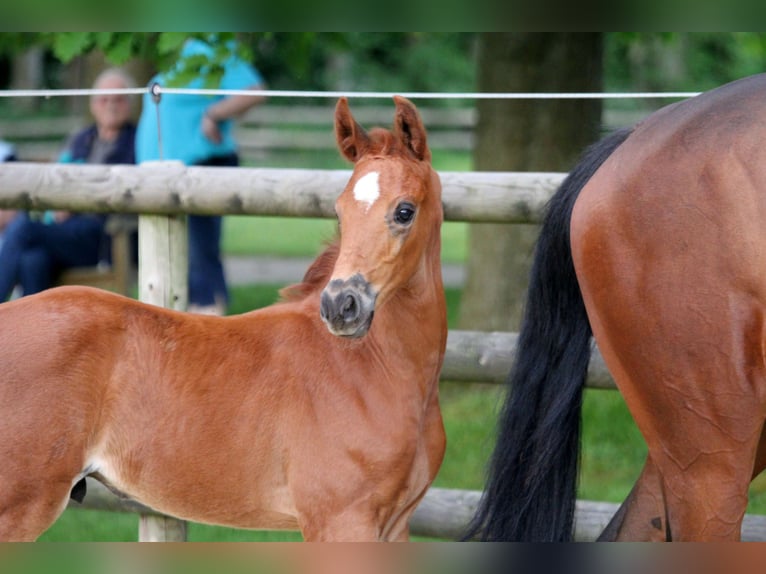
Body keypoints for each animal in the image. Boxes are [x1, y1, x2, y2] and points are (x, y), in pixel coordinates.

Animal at [0, 95, 450, 544]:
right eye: (340, 213)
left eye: (405, 211)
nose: (340, 305)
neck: (376, 369)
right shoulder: (340, 521)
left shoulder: (395, 525)